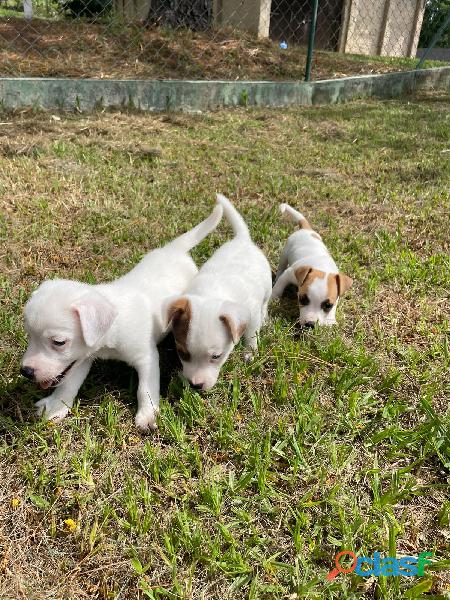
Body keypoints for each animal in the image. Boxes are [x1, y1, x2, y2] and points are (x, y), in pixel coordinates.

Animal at [21, 204, 223, 428]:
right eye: (29, 335)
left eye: (59, 342)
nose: (26, 371)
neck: (112, 329)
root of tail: (174, 249)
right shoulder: (83, 358)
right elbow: (68, 383)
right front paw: (56, 406)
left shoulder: (146, 357)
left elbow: (145, 388)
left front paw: (148, 414)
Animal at [163, 193, 272, 394]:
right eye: (182, 353)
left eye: (216, 356)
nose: (195, 385)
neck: (211, 294)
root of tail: (242, 239)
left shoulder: (251, 315)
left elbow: (251, 334)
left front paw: (250, 352)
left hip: (267, 289)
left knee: (265, 304)